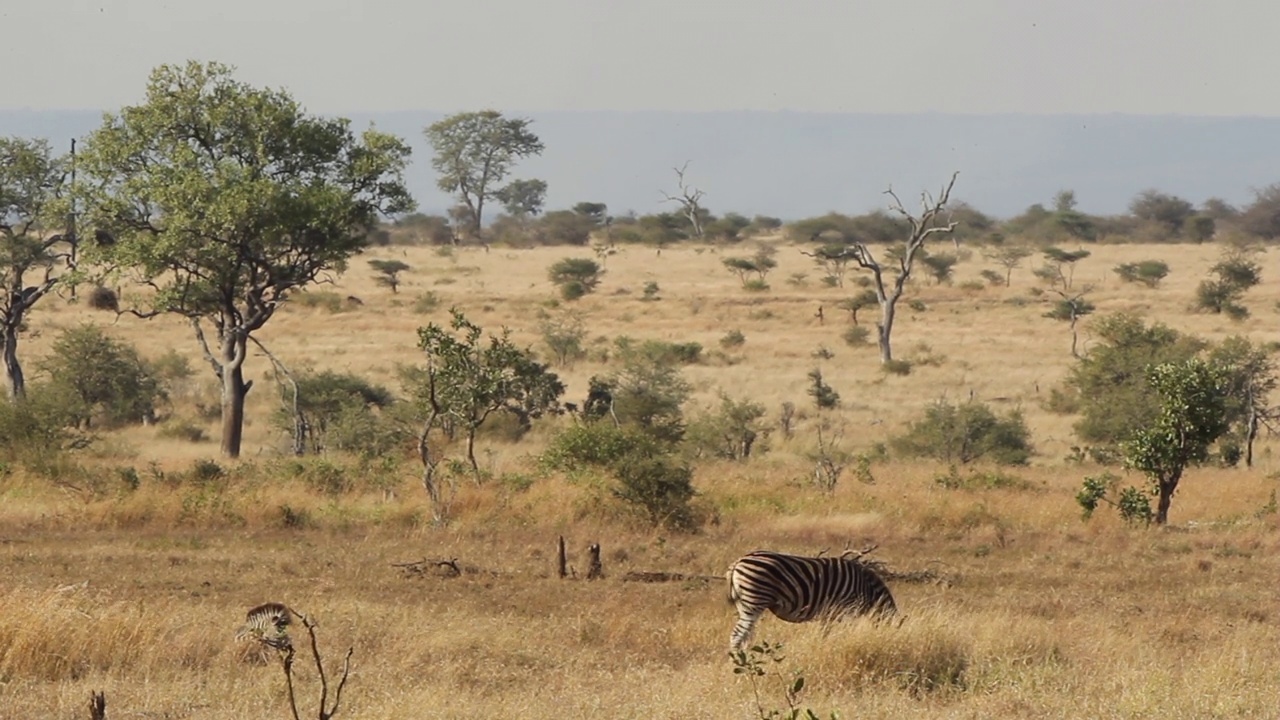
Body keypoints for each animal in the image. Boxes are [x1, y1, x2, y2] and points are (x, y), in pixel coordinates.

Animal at [727, 548, 896, 650]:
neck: (867, 588)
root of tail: (738, 562)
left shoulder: (829, 613)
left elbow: (825, 633)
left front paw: (824, 646)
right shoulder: (847, 609)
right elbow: (844, 632)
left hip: (744, 604)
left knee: (746, 635)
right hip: (754, 600)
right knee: (737, 635)